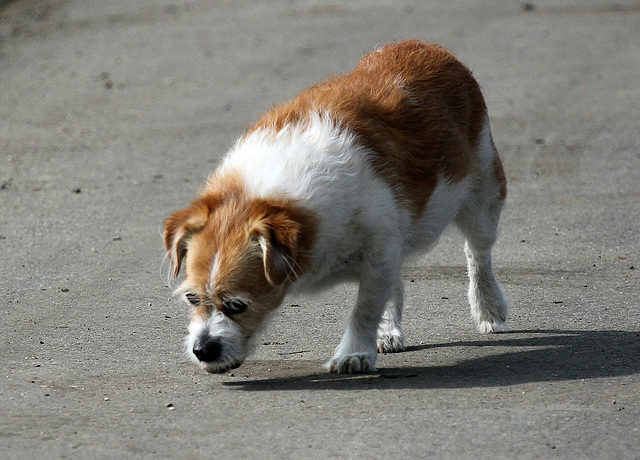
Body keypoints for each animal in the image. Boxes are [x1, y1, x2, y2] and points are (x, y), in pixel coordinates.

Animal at [165, 40, 510, 374]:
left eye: (237, 305)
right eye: (192, 298)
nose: (202, 350)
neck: (266, 195)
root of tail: (428, 47)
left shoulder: (379, 251)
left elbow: (364, 308)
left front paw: (354, 353)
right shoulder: (384, 250)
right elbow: (381, 293)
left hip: (484, 195)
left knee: (477, 253)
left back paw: (488, 306)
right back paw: (389, 330)